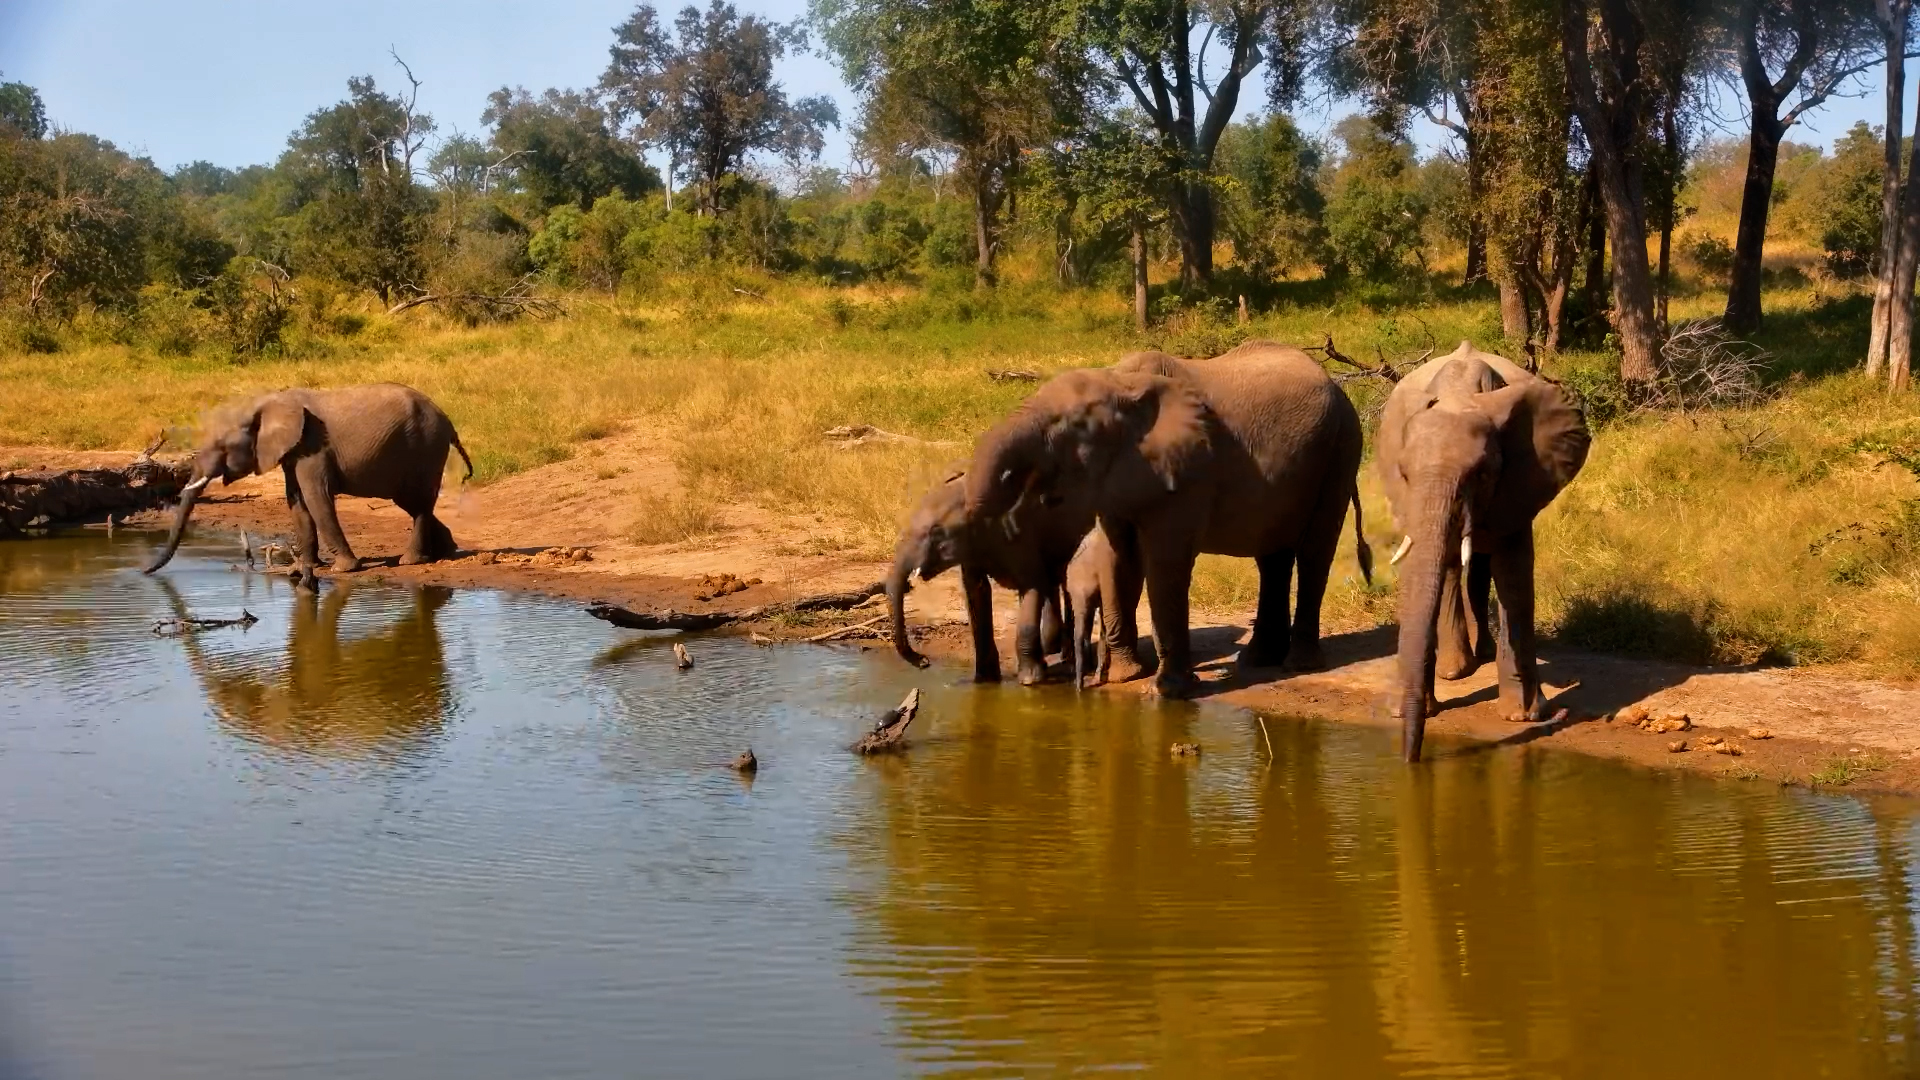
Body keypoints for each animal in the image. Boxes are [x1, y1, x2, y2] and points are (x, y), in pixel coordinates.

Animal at [144, 383, 472, 590]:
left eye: (222, 446)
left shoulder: (313, 448)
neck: (266, 403)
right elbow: (296, 502)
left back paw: (412, 560)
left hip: (426, 447)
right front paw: (302, 569)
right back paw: (445, 552)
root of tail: (448, 420)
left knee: (419, 502)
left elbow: (317, 498)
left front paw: (343, 569)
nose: (143, 572)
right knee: (413, 503)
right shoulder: (293, 452)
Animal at [887, 468, 1094, 685]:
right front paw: (985, 680)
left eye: (936, 533)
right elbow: (976, 592)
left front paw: (1030, 681)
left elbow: (1030, 584)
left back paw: (1068, 658)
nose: (924, 661)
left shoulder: (1019, 534)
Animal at [965, 340, 1373, 698]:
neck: (1119, 382)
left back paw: (1298, 665)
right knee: (1273, 558)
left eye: (1069, 428)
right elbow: (1120, 559)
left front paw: (1167, 693)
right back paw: (1257, 660)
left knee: (1314, 551)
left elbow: (1164, 562)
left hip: (1341, 449)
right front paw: (1127, 677)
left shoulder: (1188, 468)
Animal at [1376, 341, 1590, 762]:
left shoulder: (1521, 481)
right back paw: (1456, 670)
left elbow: (1514, 576)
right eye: (1404, 474)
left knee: (1478, 567)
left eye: (1482, 474)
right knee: (1456, 566)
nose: (1411, 761)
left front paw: (1523, 716)